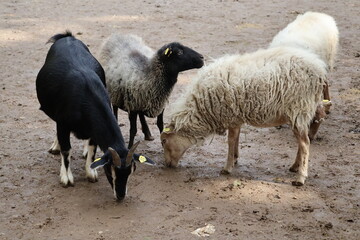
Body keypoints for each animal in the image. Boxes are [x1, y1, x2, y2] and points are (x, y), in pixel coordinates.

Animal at [35, 32, 154, 201]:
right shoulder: (63, 124)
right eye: (110, 170)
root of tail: (68, 36)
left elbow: (92, 148)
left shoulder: (93, 129)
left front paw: (90, 172)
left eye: (131, 171)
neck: (85, 95)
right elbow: (66, 150)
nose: (120, 195)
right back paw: (55, 147)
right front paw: (66, 177)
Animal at [160, 46, 326, 186]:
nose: (167, 165)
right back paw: (295, 166)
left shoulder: (231, 116)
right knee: (302, 140)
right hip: (301, 112)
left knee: (305, 143)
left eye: (164, 141)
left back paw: (300, 177)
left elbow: (231, 141)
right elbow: (237, 139)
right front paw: (234, 159)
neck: (201, 109)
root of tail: (319, 70)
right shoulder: (236, 116)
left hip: (299, 108)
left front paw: (227, 168)